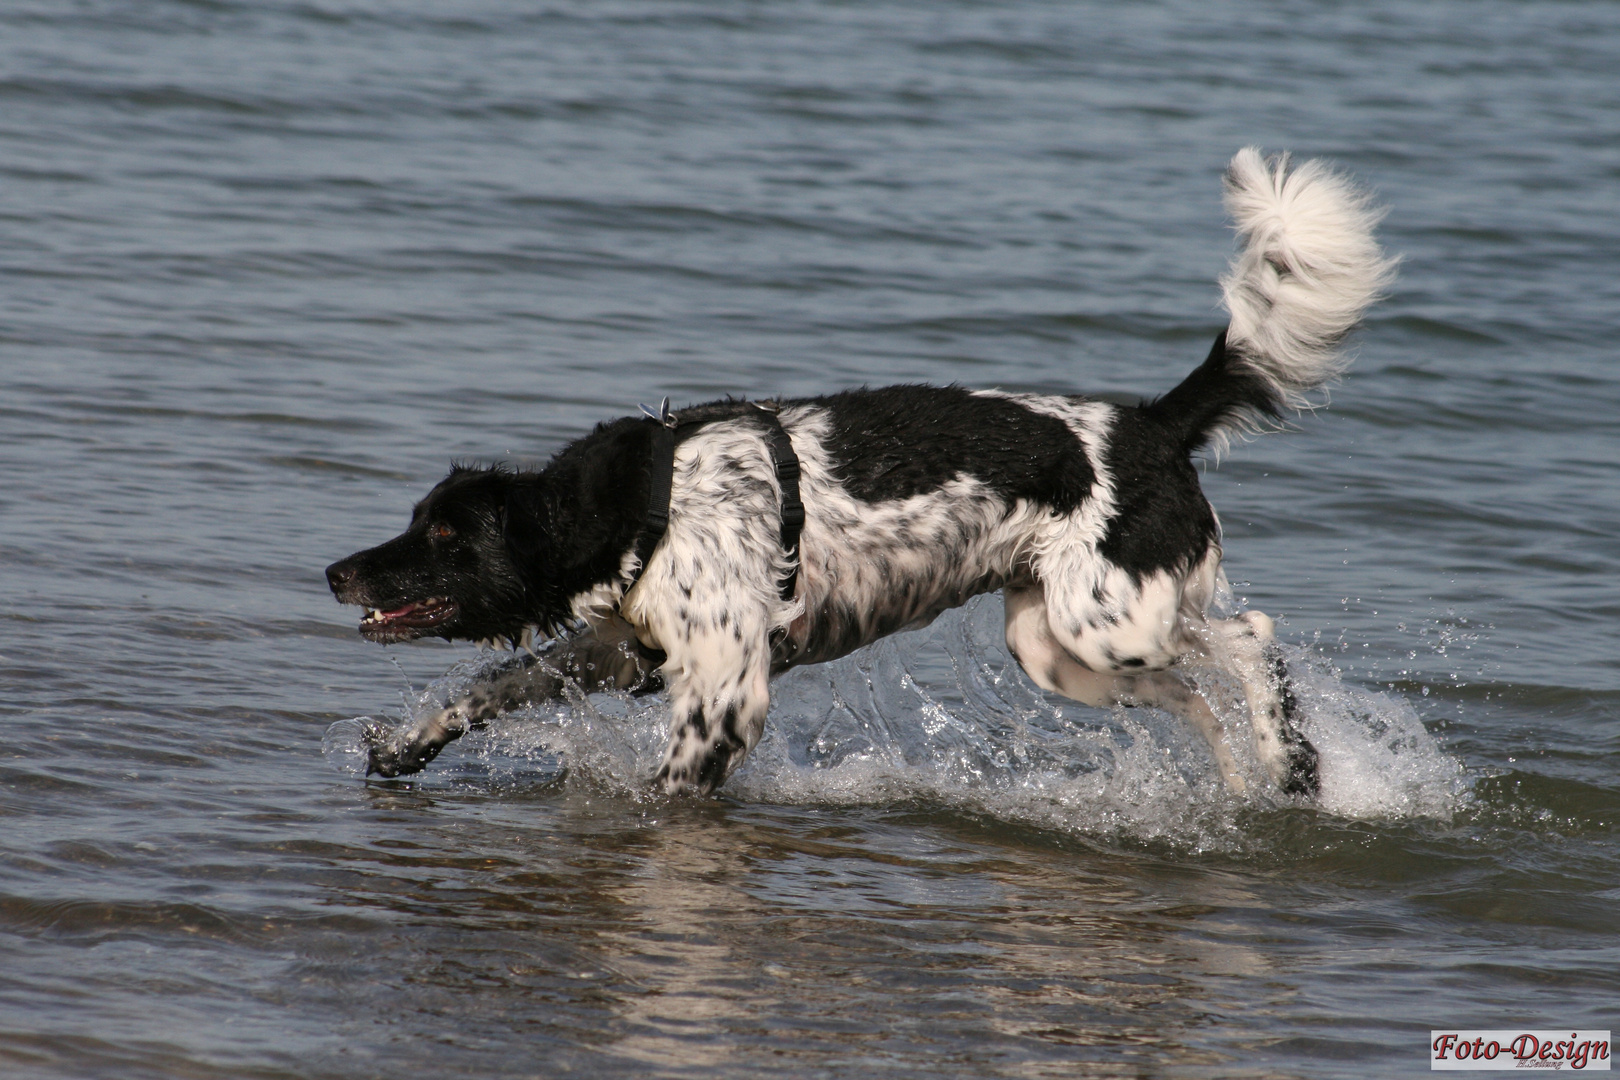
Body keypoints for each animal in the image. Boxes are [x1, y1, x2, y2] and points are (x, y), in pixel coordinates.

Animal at [325, 148, 1393, 799]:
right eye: (418, 518)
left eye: (444, 535)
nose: (336, 572)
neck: (640, 503)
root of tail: (1154, 423)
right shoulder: (621, 650)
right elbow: (487, 689)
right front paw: (407, 747)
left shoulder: (724, 694)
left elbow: (664, 791)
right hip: (1057, 649)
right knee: (1197, 697)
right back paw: (1243, 780)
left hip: (1112, 620)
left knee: (1249, 640)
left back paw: (1290, 766)